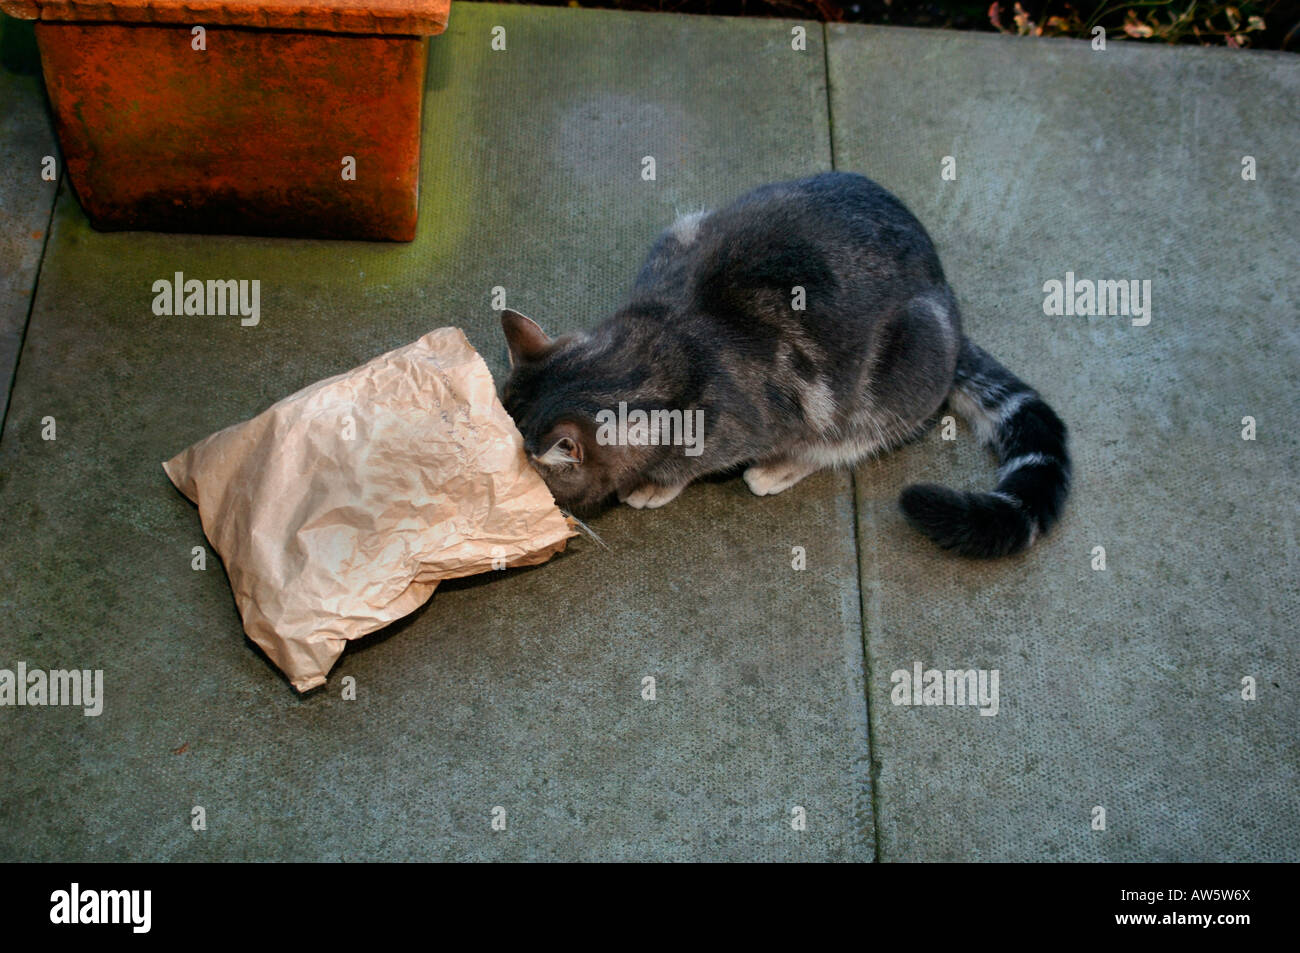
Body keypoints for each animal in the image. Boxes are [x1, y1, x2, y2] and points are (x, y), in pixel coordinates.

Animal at [496, 171, 1066, 556]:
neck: (657, 348)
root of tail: (947, 295)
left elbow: (688, 466)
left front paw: (655, 485)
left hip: (900, 374)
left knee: (851, 439)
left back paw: (780, 466)